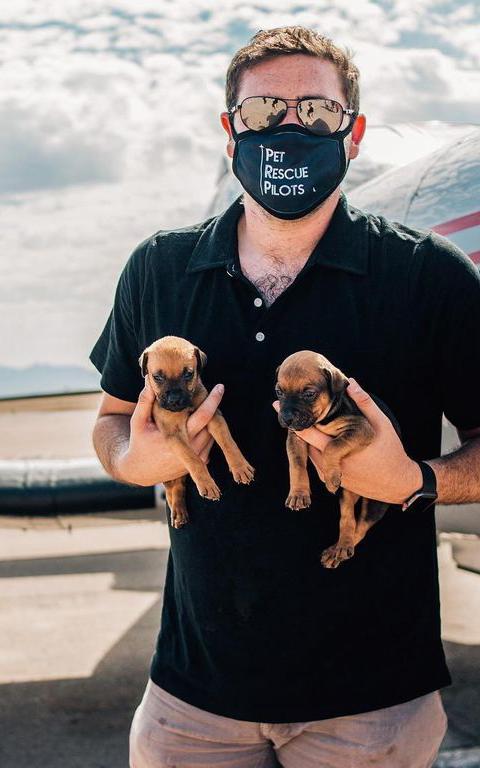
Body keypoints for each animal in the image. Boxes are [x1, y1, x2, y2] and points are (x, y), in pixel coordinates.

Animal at [139, 336, 255, 528]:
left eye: (188, 374)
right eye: (157, 377)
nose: (174, 400)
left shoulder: (214, 416)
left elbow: (228, 441)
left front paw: (240, 467)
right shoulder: (174, 434)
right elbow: (193, 459)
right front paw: (207, 484)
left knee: (179, 487)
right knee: (172, 491)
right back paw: (177, 513)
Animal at [274, 352, 398, 568]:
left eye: (309, 394)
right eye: (279, 392)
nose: (286, 418)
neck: (322, 420)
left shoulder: (361, 428)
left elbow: (332, 446)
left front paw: (331, 477)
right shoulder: (295, 436)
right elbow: (296, 464)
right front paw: (298, 493)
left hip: (375, 503)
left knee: (361, 526)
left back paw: (340, 550)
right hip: (347, 494)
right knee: (348, 518)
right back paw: (339, 548)